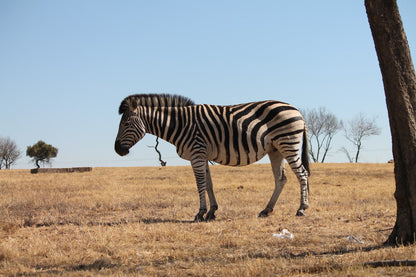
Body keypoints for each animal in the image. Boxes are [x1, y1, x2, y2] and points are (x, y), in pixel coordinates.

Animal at [114, 94, 308, 221]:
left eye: (126, 123)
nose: (117, 150)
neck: (180, 124)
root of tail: (297, 110)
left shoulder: (197, 154)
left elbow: (200, 184)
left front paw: (200, 213)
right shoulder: (202, 156)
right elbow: (208, 184)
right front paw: (212, 212)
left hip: (288, 143)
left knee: (303, 174)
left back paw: (302, 209)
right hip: (275, 149)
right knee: (281, 179)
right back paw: (267, 210)